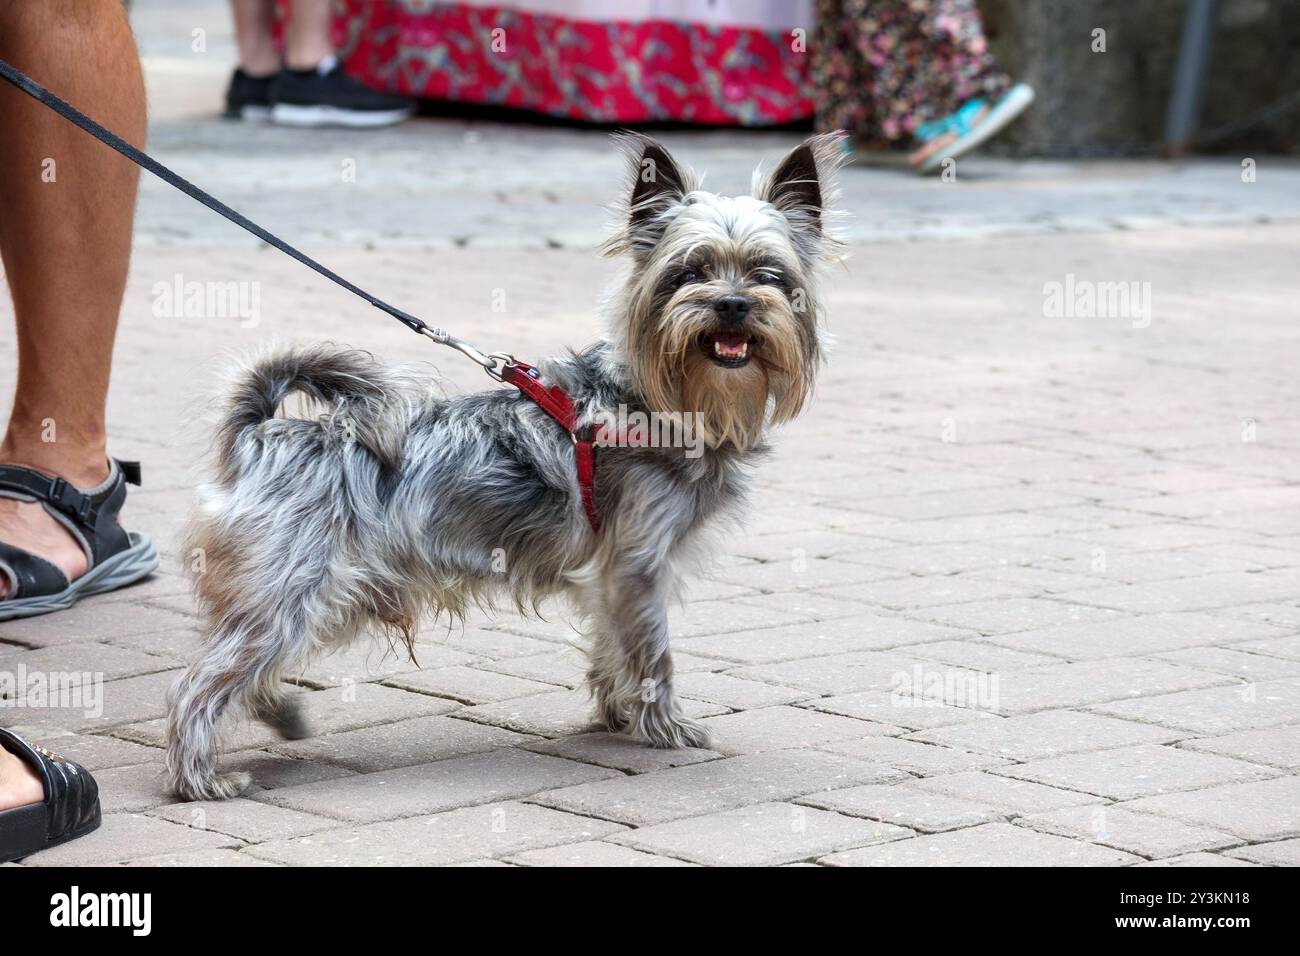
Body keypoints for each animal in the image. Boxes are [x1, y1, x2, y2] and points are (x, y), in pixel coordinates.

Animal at [165, 128, 842, 801]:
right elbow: (654, 654)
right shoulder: (639, 565)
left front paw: (615, 713)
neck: (659, 400)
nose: (732, 304)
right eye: (688, 272)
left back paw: (279, 715)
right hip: (295, 590)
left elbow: (611, 643)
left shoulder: (610, 577)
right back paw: (200, 779)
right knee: (202, 681)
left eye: (769, 274)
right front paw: (664, 728)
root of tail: (261, 433)